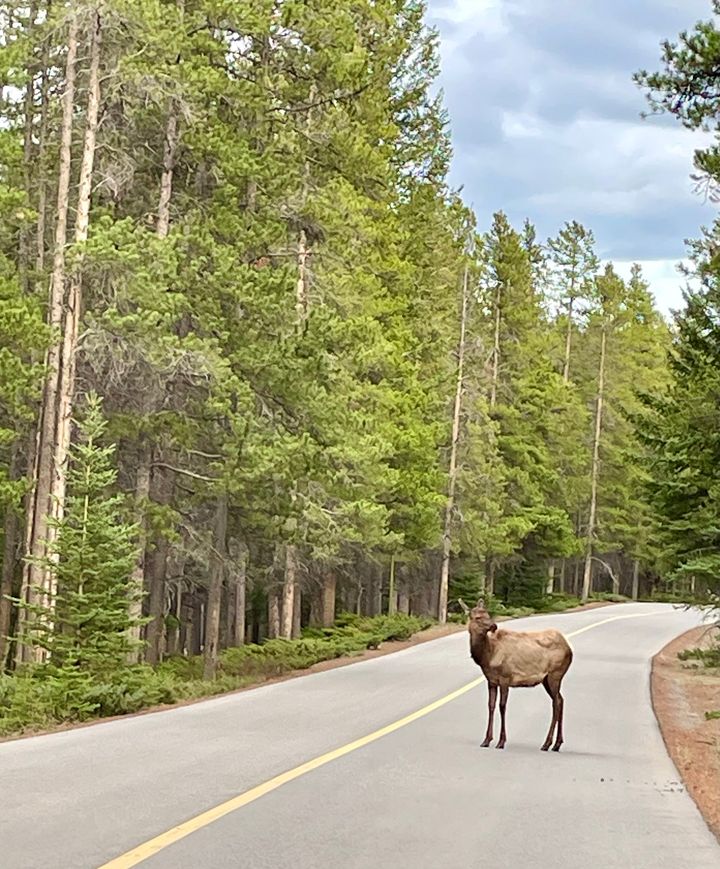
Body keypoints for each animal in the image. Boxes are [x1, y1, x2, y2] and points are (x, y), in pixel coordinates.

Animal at [459, 598, 573, 751]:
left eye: (487, 614)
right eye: (477, 617)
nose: (494, 625)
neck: (487, 656)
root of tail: (569, 649)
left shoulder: (505, 677)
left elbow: (502, 706)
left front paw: (501, 742)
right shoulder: (491, 680)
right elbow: (490, 706)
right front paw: (486, 740)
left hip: (555, 674)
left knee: (557, 702)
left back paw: (548, 743)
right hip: (546, 680)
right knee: (561, 700)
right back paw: (556, 743)